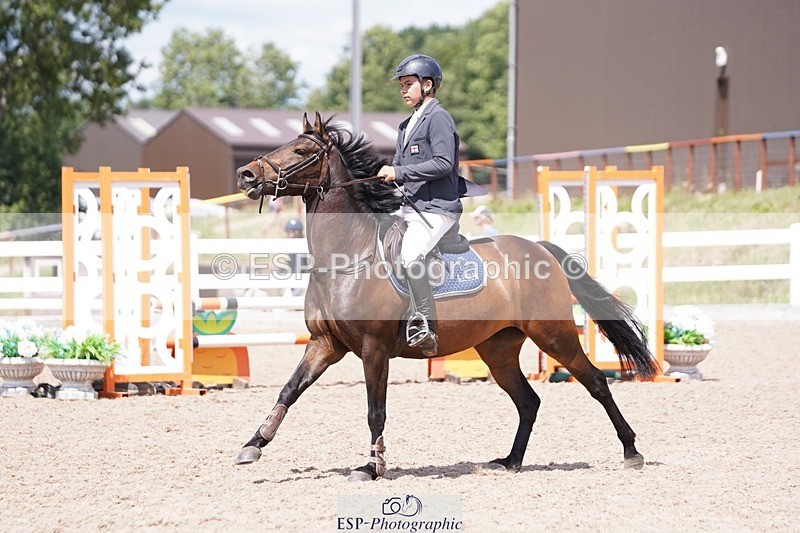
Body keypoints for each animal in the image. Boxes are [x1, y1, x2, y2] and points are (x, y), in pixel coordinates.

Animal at [233, 112, 658, 481]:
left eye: (301, 151)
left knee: (595, 382)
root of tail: (538, 248)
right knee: (528, 401)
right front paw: (253, 445)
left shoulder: (373, 349)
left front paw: (371, 467)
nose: (246, 173)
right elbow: (290, 389)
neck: (347, 258)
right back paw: (510, 461)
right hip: (498, 349)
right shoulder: (324, 344)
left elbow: (375, 411)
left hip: (554, 336)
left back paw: (631, 451)